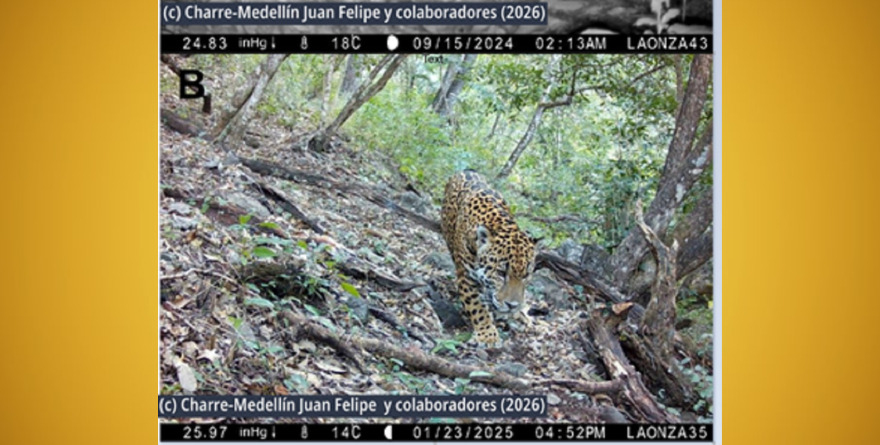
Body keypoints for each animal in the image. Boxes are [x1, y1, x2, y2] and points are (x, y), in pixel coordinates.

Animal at [440, 170, 538, 346]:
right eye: (500, 273)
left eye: (526, 275)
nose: (512, 305)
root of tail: (467, 170)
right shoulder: (466, 277)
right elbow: (477, 307)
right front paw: (487, 335)